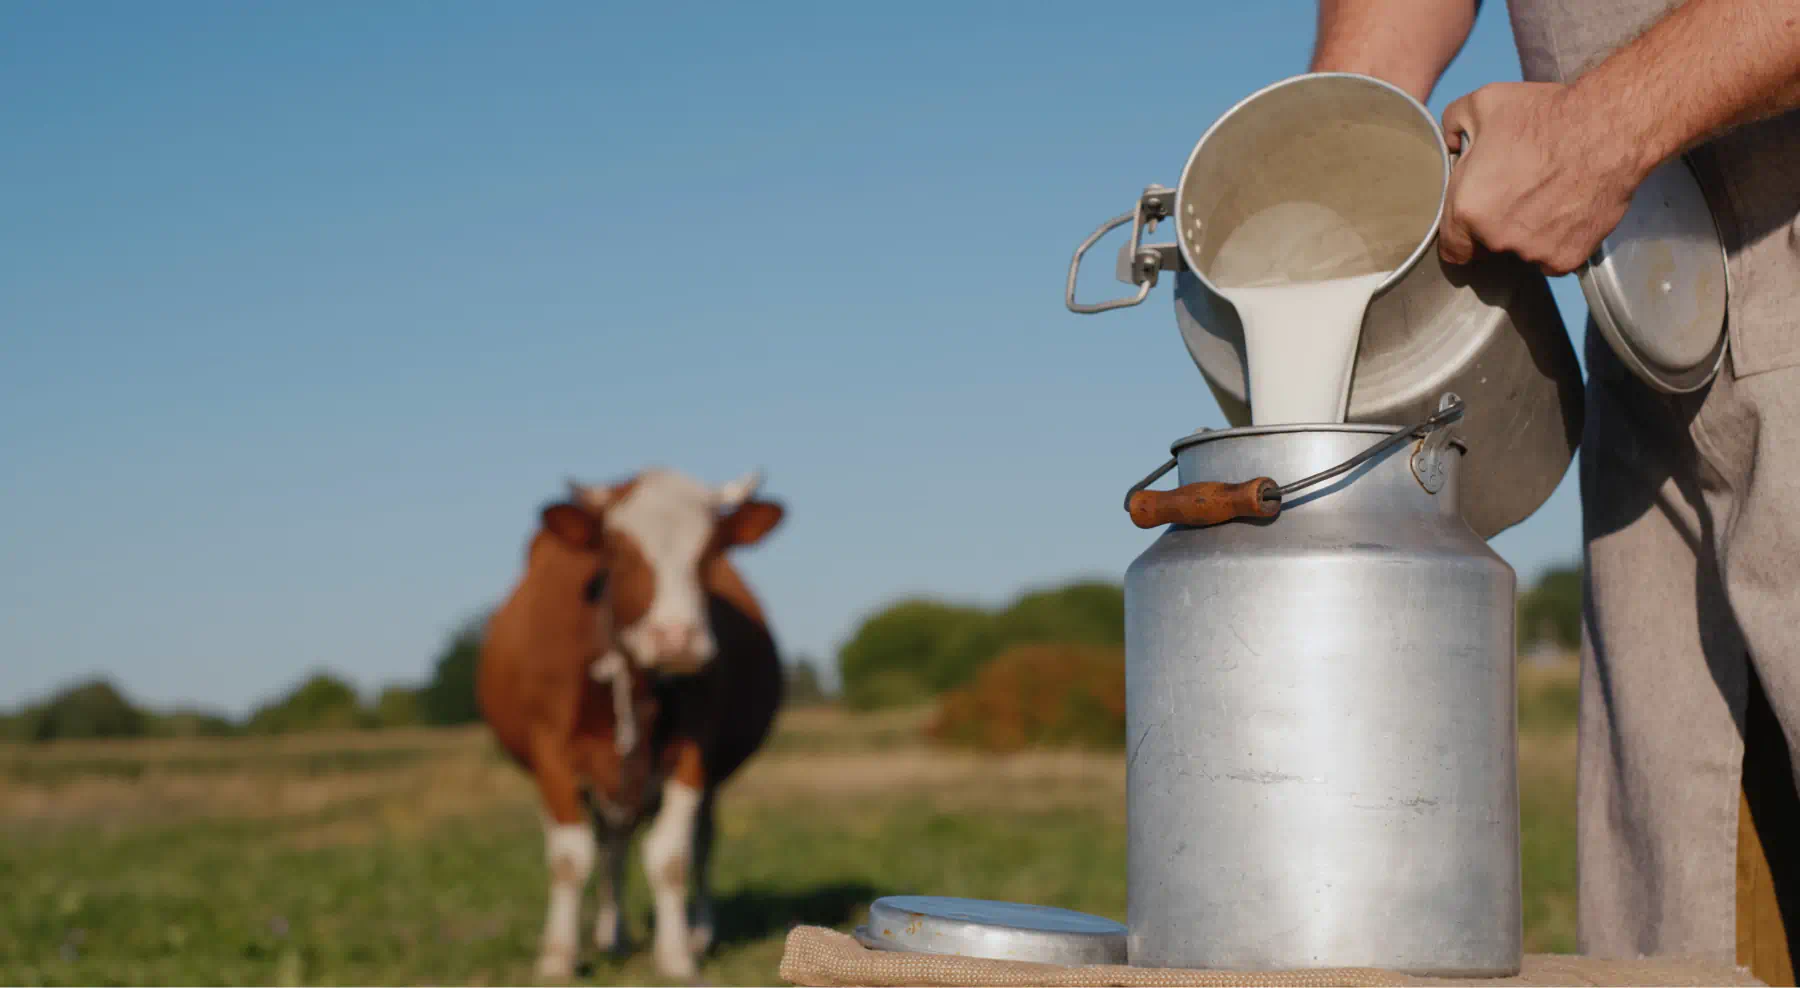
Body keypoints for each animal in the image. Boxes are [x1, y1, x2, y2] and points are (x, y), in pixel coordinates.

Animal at [477, 467, 786, 980]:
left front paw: (677, 956)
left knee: (698, 843)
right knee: (607, 849)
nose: (676, 638)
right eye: (618, 550)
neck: (633, 676)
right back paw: (610, 937)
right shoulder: (551, 751)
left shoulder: (693, 751)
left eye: (712, 550)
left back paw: (695, 933)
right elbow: (569, 858)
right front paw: (558, 959)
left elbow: (671, 857)